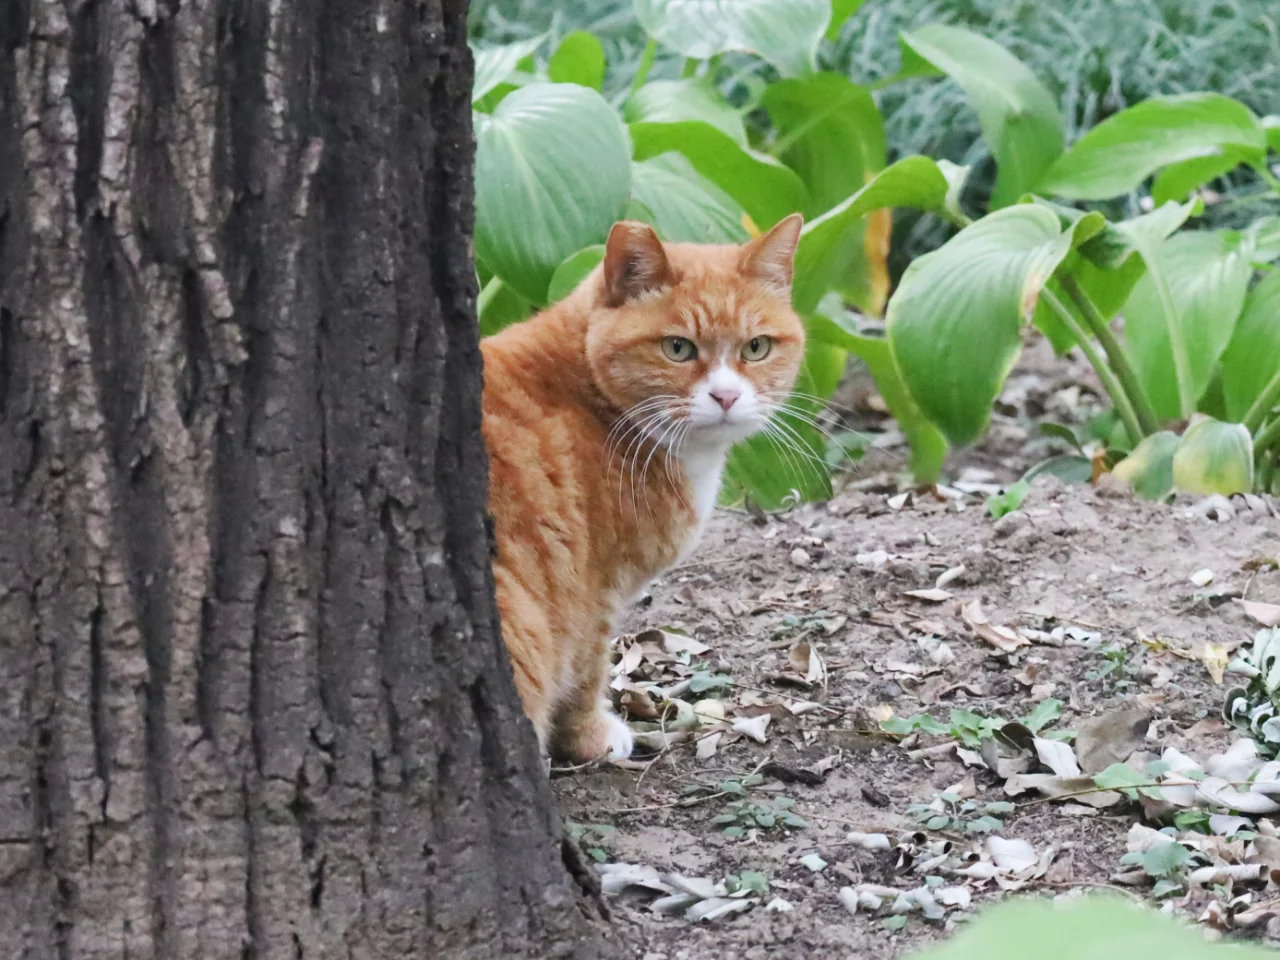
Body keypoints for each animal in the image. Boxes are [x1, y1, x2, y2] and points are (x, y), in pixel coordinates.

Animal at [481, 213, 798, 762]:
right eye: (678, 348)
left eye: (756, 348)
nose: (726, 396)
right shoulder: (592, 589)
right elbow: (588, 668)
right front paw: (591, 735)